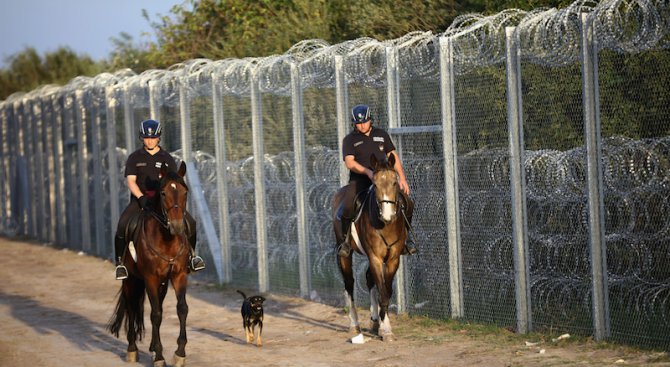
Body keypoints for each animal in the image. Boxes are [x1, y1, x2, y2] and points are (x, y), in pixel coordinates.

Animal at [107, 162, 192, 366]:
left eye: (185, 192)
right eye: (163, 193)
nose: (177, 226)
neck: (167, 239)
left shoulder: (179, 276)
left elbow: (182, 309)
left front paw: (179, 352)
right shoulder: (150, 278)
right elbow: (156, 314)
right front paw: (160, 356)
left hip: (162, 283)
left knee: (157, 304)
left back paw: (152, 347)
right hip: (131, 280)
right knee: (131, 307)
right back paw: (132, 349)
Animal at [334, 154, 410, 344]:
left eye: (395, 182)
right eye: (375, 184)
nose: (388, 215)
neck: (386, 225)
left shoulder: (393, 259)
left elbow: (387, 291)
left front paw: (382, 325)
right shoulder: (375, 257)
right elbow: (382, 290)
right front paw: (386, 329)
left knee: (369, 279)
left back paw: (375, 321)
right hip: (344, 254)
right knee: (349, 283)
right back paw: (354, 324)